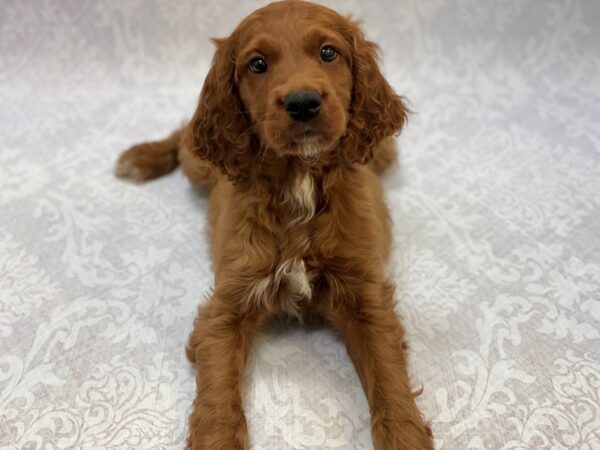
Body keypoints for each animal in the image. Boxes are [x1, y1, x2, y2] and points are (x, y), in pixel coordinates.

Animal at [115, 1, 434, 448]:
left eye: (329, 53)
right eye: (258, 64)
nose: (302, 103)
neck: (299, 179)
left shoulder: (367, 297)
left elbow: (391, 386)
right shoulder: (227, 304)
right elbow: (218, 401)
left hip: (381, 152)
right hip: (201, 165)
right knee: (185, 136)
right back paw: (142, 157)